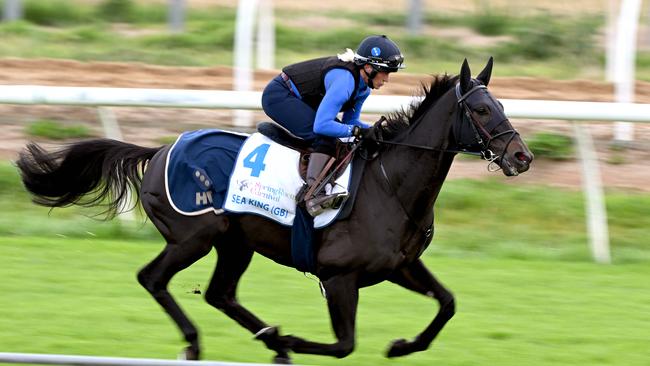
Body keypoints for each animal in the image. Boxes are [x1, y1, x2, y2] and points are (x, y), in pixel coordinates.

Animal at [16, 58, 532, 364]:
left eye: (502, 104)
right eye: (481, 110)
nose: (522, 156)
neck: (392, 187)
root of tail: (160, 149)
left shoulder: (400, 266)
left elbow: (447, 303)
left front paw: (403, 344)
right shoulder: (339, 277)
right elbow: (344, 344)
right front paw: (296, 341)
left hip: (234, 242)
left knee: (220, 294)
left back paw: (269, 337)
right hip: (193, 237)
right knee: (153, 279)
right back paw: (202, 341)